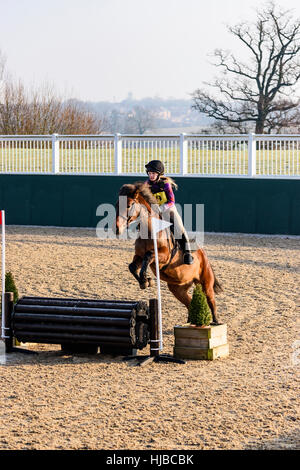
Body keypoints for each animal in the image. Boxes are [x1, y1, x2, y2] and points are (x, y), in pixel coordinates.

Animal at [115, 182, 223, 324]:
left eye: (128, 205)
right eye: (116, 205)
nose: (117, 229)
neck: (149, 231)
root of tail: (203, 255)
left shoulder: (164, 256)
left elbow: (148, 256)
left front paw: (146, 279)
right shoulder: (138, 256)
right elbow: (132, 266)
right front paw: (145, 281)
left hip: (205, 282)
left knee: (211, 300)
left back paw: (215, 321)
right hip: (178, 288)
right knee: (189, 302)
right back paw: (190, 321)